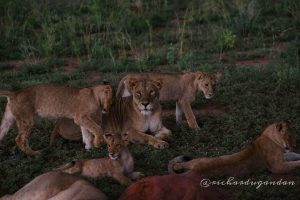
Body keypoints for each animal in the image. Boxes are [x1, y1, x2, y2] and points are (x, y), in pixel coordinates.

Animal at [169, 120, 300, 175]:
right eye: (289, 136)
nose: (294, 145)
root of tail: (194, 170)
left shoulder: (282, 156)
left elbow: (292, 155)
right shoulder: (276, 167)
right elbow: (293, 163)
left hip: (197, 160)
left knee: (177, 164)